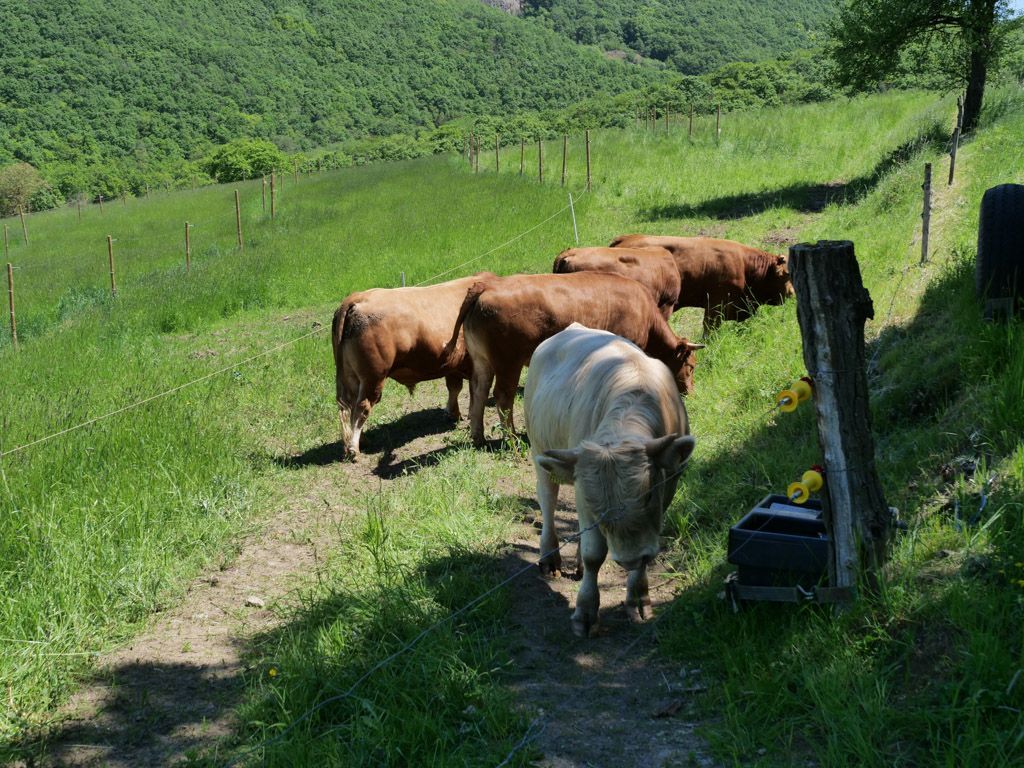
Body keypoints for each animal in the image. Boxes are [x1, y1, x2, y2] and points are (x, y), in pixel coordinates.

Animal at [331, 274, 491, 456]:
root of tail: (356, 298)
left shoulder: (453, 364)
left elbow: (454, 388)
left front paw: (453, 413)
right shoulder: (472, 363)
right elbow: (472, 391)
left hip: (352, 377)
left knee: (350, 407)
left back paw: (362, 441)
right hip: (372, 377)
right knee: (361, 407)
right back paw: (354, 448)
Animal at [440, 274, 704, 448]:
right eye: (690, 367)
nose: (692, 393)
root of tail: (487, 285)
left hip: (482, 361)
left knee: (479, 392)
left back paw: (478, 437)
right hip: (508, 362)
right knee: (503, 397)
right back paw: (513, 439)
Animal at [520, 323, 696, 638]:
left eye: (648, 494)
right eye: (598, 507)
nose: (628, 557)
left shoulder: (669, 483)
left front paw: (638, 599)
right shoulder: (582, 495)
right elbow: (594, 554)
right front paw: (586, 612)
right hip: (541, 454)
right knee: (548, 502)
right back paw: (550, 557)